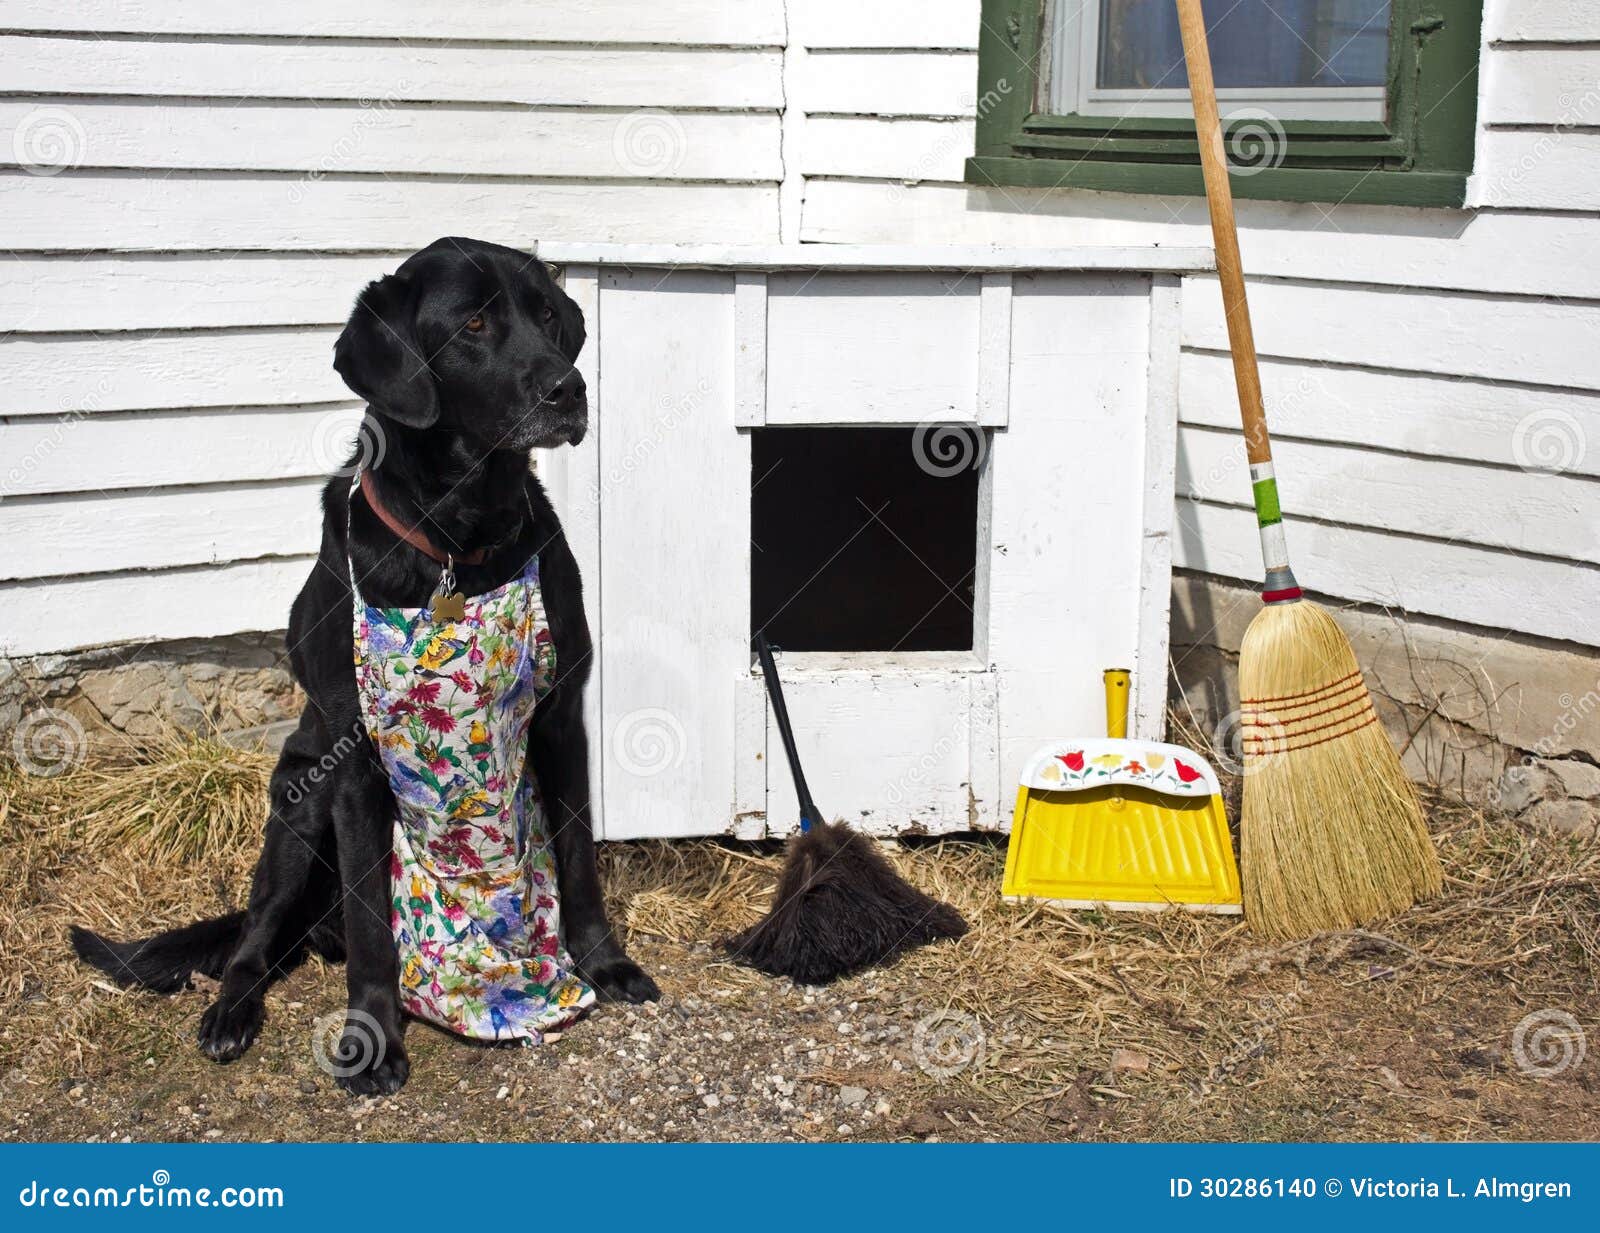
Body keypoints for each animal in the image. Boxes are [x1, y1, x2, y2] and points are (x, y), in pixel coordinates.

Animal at [72, 236, 659, 1093]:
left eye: (549, 316)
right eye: (474, 324)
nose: (569, 387)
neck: (457, 537)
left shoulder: (560, 721)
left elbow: (579, 860)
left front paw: (605, 964)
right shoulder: (353, 760)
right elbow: (373, 916)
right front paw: (373, 1034)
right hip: (299, 799)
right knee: (253, 939)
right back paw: (231, 1012)